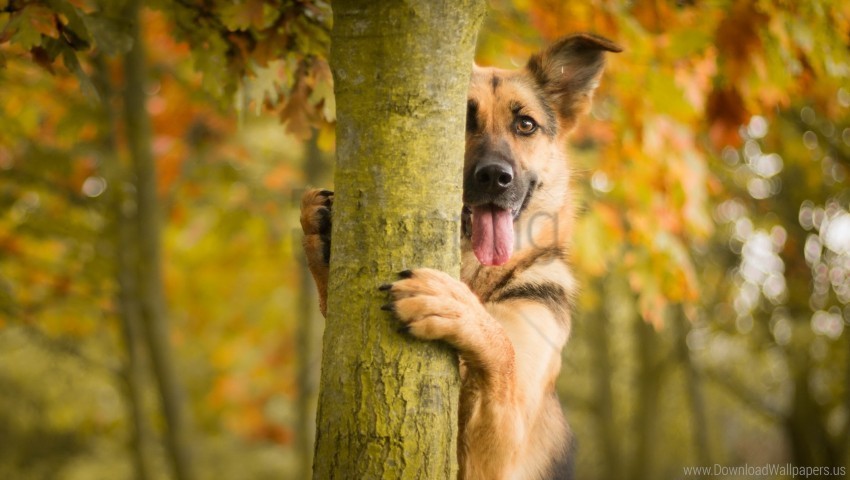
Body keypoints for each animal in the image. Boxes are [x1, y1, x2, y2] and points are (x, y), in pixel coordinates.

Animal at [302, 31, 620, 478]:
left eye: (525, 124)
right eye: (463, 122)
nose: (495, 177)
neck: (476, 273)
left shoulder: (500, 453)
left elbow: (503, 348)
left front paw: (451, 304)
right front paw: (318, 230)